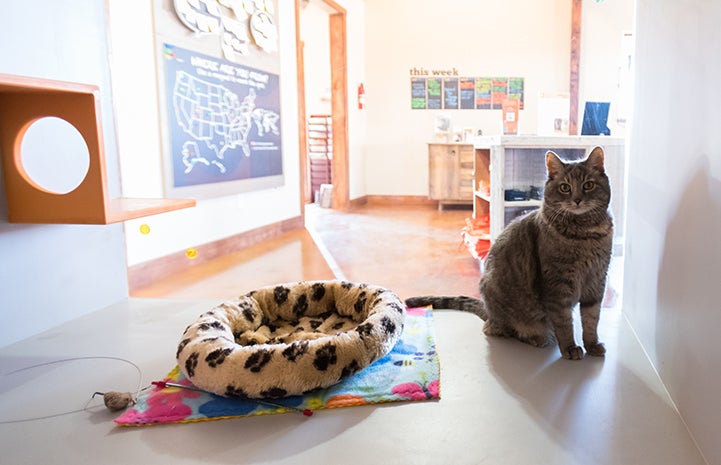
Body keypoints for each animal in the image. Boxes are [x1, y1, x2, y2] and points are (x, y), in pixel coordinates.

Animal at [408, 146, 612, 358]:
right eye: (565, 187)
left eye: (588, 185)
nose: (577, 200)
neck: (585, 235)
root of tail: (489, 314)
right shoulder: (558, 285)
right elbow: (564, 323)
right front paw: (570, 348)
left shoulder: (597, 282)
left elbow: (591, 319)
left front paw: (592, 345)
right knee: (503, 330)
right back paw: (537, 337)